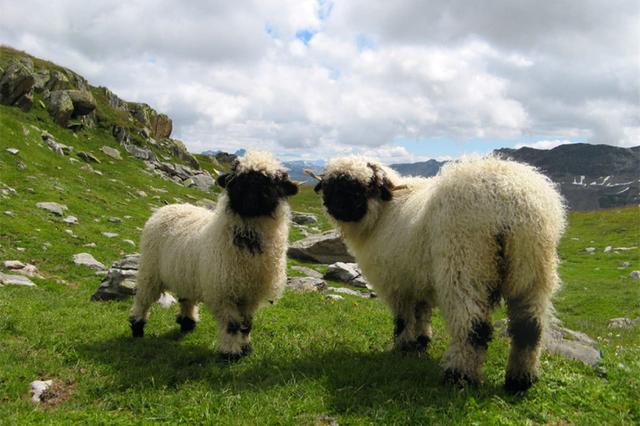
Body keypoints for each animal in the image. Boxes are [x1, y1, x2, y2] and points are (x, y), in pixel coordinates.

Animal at [131, 150, 300, 360]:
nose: (251, 189)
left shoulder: (250, 294)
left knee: (186, 298)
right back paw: (137, 328)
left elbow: (246, 324)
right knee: (143, 299)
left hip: (186, 274)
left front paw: (246, 348)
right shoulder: (223, 291)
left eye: (272, 181)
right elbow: (232, 324)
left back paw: (187, 323)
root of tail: (169, 207)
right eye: (237, 178)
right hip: (150, 271)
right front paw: (230, 352)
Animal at [312, 156, 568, 392]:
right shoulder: (417, 279)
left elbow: (404, 318)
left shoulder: (397, 283)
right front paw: (422, 341)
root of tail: (511, 197)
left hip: (465, 264)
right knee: (529, 328)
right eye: (330, 186)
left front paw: (403, 346)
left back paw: (459, 377)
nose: (335, 206)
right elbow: (422, 312)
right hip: (531, 267)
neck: (382, 214)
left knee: (472, 327)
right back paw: (520, 380)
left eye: (359, 188)